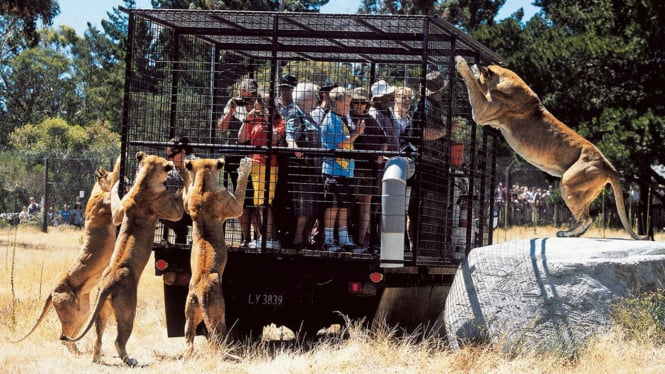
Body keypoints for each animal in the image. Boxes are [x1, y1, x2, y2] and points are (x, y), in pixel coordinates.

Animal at [10, 157, 119, 354]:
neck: (97, 190)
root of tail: (52, 290)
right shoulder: (108, 206)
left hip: (82, 311)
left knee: (70, 336)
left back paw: (79, 351)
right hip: (69, 313)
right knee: (62, 337)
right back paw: (77, 353)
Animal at [60, 150, 184, 366]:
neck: (144, 184)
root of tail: (106, 285)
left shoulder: (120, 210)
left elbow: (117, 209)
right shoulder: (166, 207)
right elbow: (178, 209)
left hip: (102, 311)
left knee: (98, 338)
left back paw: (96, 358)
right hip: (128, 311)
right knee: (119, 340)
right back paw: (130, 360)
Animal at [182, 157, 252, 356]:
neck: (203, 182)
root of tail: (200, 291)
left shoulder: (188, 202)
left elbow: (185, 192)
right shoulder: (234, 206)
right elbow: (241, 190)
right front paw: (245, 166)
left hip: (191, 312)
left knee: (188, 337)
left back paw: (188, 354)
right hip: (218, 313)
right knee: (217, 336)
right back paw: (227, 351)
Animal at [454, 55, 644, 240]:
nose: (476, 64)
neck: (502, 80)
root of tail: (608, 165)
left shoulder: (483, 111)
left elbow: (473, 84)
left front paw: (461, 63)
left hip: (568, 182)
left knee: (587, 218)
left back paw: (567, 233)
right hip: (584, 191)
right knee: (586, 216)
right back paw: (571, 233)